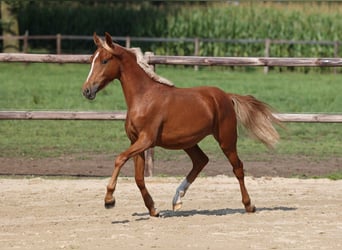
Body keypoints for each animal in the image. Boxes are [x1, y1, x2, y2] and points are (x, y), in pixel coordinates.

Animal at [82, 32, 280, 217]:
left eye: (105, 60)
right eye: (91, 60)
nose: (86, 91)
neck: (143, 97)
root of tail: (226, 96)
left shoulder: (146, 140)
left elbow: (120, 158)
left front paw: (109, 199)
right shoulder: (135, 141)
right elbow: (138, 178)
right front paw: (153, 209)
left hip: (226, 139)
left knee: (237, 167)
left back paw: (249, 205)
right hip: (188, 141)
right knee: (201, 161)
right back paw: (177, 199)